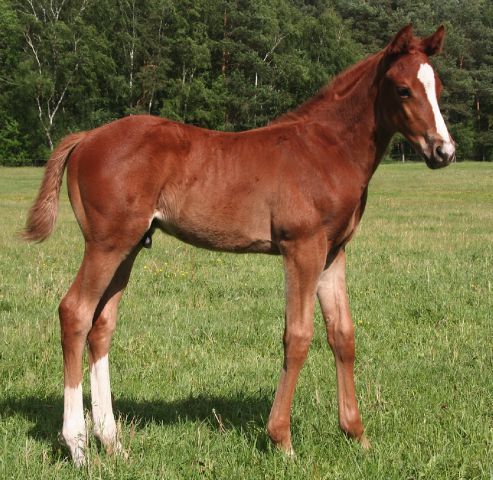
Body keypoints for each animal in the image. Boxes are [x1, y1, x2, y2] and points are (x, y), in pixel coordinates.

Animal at [23, 23, 454, 464]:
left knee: (102, 325)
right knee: (75, 312)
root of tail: (87, 136)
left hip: (129, 246)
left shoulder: (334, 252)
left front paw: (357, 435)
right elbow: (298, 337)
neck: (326, 150)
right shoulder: (302, 248)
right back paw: (77, 446)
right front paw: (282, 440)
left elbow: (343, 335)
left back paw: (112, 442)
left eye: (439, 88)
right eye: (403, 89)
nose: (444, 151)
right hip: (105, 244)